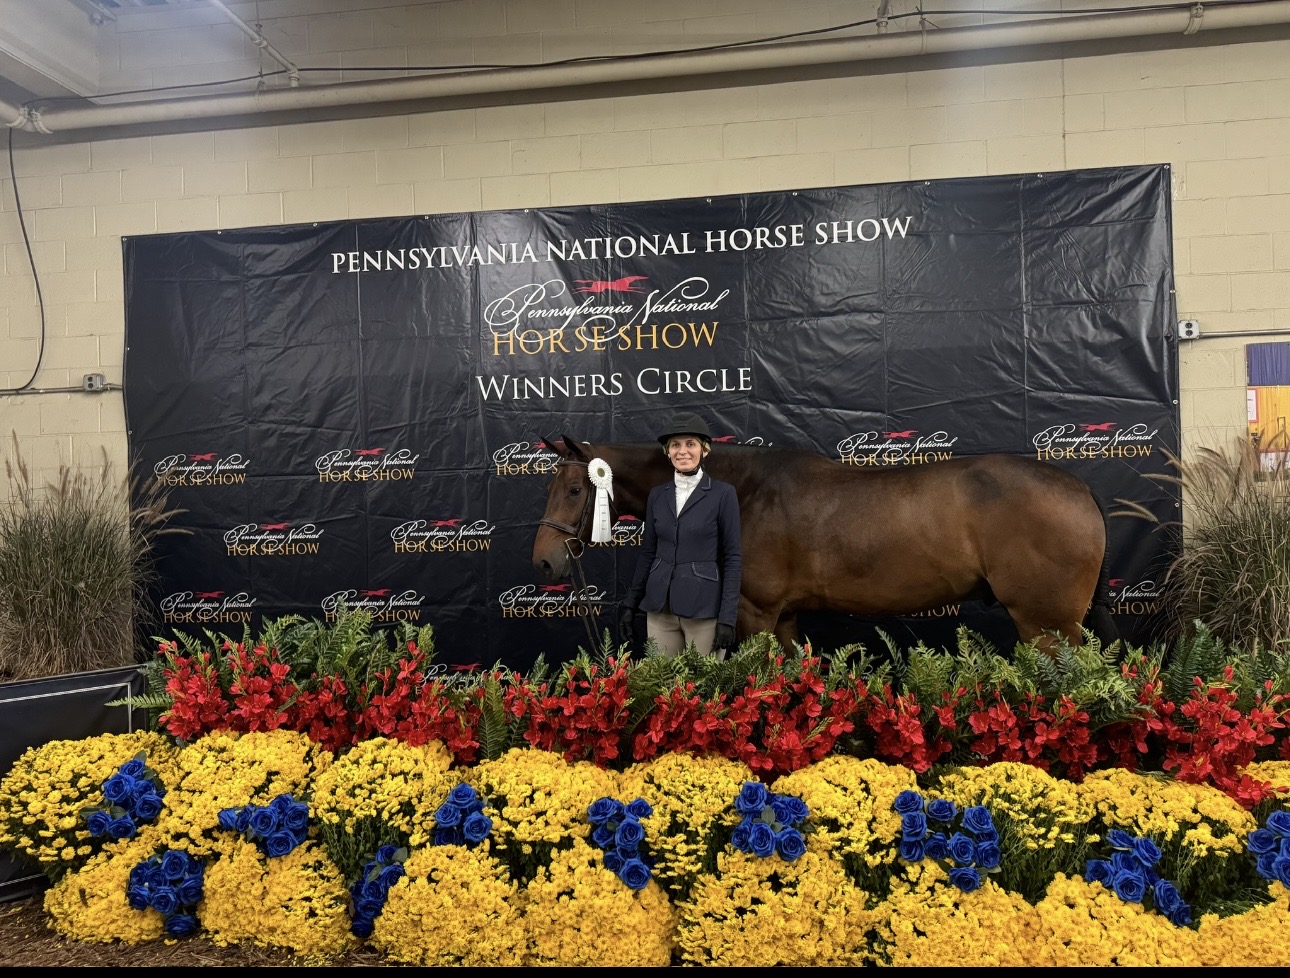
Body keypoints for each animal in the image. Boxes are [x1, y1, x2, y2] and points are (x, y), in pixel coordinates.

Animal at [532, 437, 1118, 654]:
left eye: (575, 489)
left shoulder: (756, 613)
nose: (543, 559)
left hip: (1045, 622)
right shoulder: (785, 616)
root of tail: (1080, 488)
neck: (746, 490)